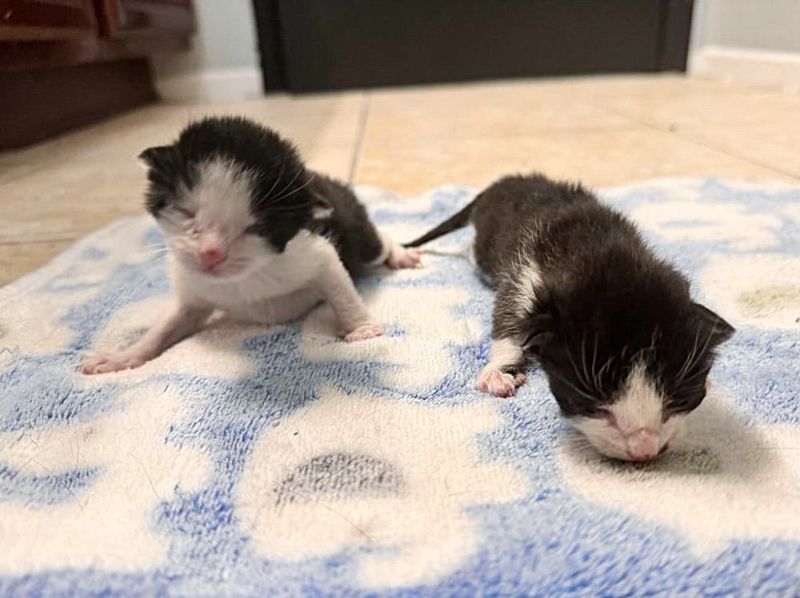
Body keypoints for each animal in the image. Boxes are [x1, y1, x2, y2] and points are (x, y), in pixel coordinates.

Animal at [79, 116, 418, 376]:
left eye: (255, 227)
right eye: (185, 211)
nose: (211, 253)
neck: (239, 281)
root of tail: (324, 180)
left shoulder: (315, 252)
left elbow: (341, 291)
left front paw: (363, 329)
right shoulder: (195, 292)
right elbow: (167, 326)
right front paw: (124, 357)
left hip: (360, 236)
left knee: (379, 241)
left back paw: (400, 254)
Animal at [410, 173, 736, 464]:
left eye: (678, 400)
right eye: (591, 403)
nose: (644, 451)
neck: (597, 252)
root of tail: (506, 181)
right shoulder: (524, 275)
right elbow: (506, 319)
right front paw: (497, 372)